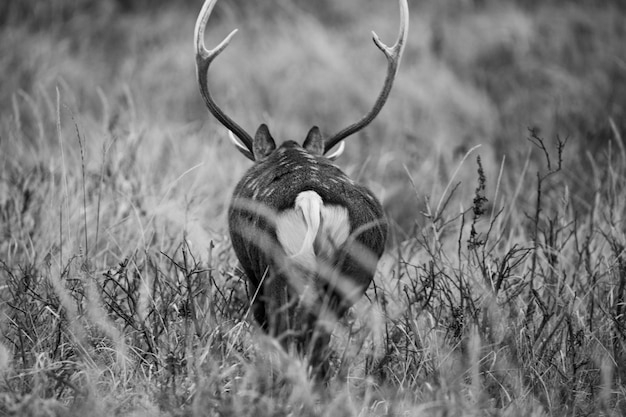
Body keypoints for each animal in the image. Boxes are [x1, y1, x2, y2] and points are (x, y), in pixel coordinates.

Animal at [196, 0, 410, 372]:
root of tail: (310, 199)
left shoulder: (252, 273)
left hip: (278, 269)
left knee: (290, 334)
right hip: (350, 273)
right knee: (318, 338)